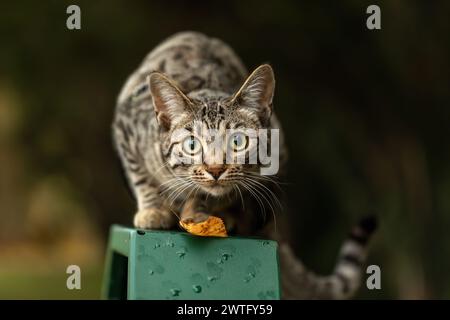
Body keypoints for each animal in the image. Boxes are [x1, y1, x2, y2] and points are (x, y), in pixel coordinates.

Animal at [112, 31, 376, 298]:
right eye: (192, 145)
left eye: (238, 142)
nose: (215, 169)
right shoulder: (125, 127)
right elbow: (140, 176)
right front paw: (153, 210)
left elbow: (211, 194)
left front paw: (196, 212)